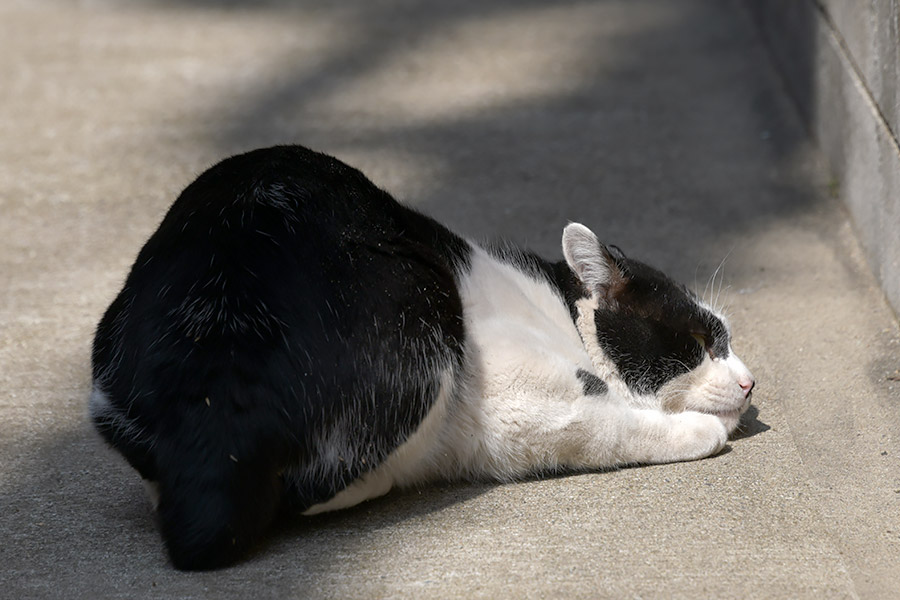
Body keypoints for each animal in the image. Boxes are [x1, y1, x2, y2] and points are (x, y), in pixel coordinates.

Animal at [89, 143, 752, 568]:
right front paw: (698, 431)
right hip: (421, 306)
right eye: (700, 344)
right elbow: (607, 426)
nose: (750, 383)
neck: (554, 310)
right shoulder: (514, 406)